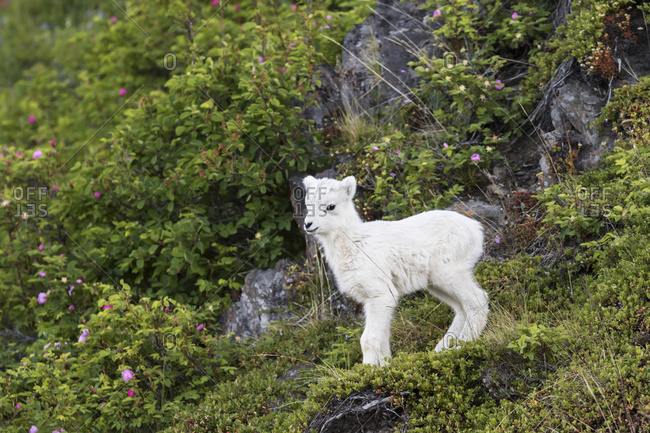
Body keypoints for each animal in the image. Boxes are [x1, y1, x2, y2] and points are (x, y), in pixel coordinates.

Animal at [301, 175, 488, 366]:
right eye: (308, 204)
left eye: (331, 206)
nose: (308, 224)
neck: (355, 244)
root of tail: (476, 229)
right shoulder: (375, 300)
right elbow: (383, 339)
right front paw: (384, 366)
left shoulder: (381, 294)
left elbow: (368, 340)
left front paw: (367, 368)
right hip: (436, 283)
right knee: (461, 308)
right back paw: (442, 349)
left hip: (448, 273)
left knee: (477, 300)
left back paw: (463, 344)